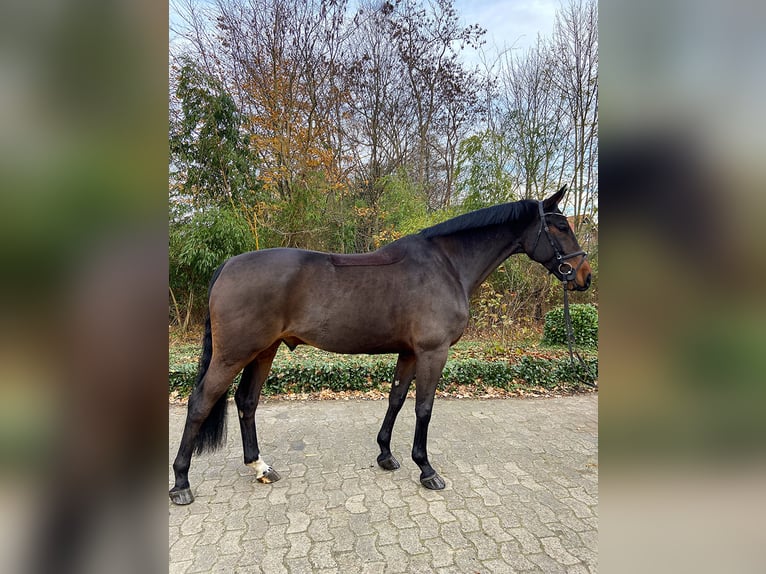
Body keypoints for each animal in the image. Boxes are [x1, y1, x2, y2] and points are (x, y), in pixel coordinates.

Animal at [170, 186, 591, 505]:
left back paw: (260, 467)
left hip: (263, 351)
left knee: (246, 402)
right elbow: (423, 408)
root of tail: (228, 265)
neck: (447, 265)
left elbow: (397, 399)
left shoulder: (409, 352)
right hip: (233, 353)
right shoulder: (433, 351)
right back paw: (181, 483)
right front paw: (427, 469)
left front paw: (386, 455)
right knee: (200, 402)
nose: (583, 275)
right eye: (560, 226)